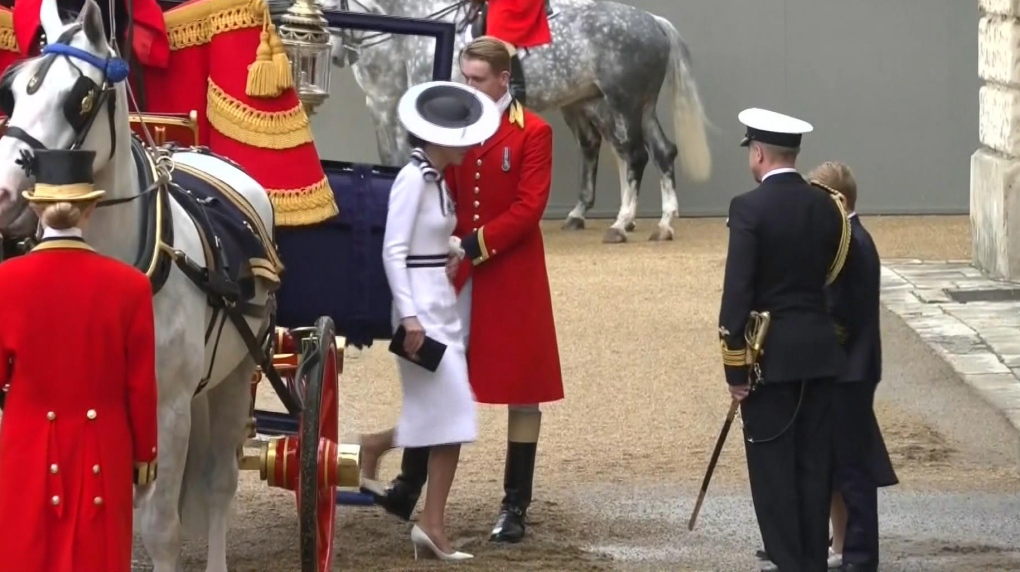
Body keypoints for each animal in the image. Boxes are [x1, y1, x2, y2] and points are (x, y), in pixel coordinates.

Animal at [0, 1, 275, 570]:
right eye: (11, 91)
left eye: (79, 98)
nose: (3, 193)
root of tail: (202, 155)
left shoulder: (166, 411)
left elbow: (161, 529)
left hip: (236, 375)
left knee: (219, 483)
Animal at [326, 0, 709, 242]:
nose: (337, 55)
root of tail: (653, 22)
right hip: (632, 105)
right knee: (659, 152)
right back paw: (661, 223)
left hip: (622, 101)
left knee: (634, 155)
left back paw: (621, 223)